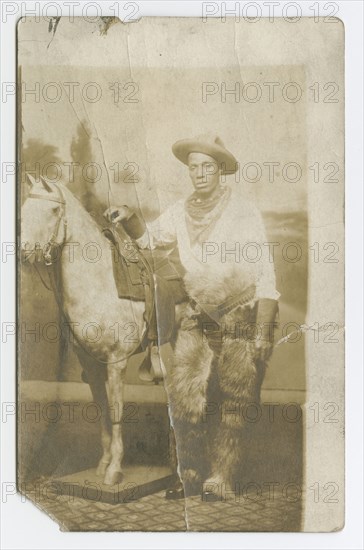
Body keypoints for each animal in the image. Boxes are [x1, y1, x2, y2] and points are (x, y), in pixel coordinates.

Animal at [21, 175, 146, 486]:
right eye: (25, 208)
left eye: (54, 210)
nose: (26, 252)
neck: (100, 285)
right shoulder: (90, 363)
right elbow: (101, 408)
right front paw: (103, 463)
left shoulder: (116, 362)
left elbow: (115, 409)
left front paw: (115, 470)